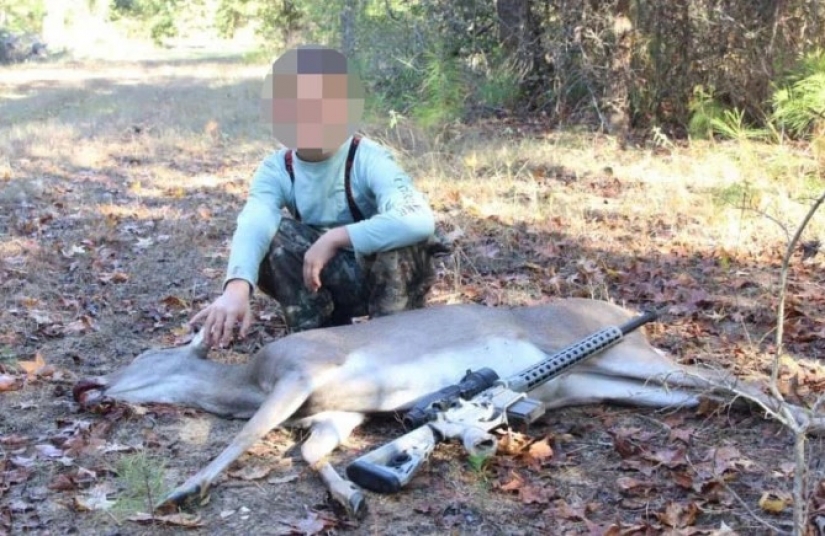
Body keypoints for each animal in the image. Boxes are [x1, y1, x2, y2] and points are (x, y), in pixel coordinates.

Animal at [74, 300, 820, 516]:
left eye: (143, 358)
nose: (89, 385)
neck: (246, 382)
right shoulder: (337, 411)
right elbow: (309, 451)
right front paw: (350, 494)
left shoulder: (300, 373)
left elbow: (244, 440)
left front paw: (184, 489)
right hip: (601, 379)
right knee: (703, 392)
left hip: (628, 353)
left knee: (731, 380)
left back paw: (804, 420)